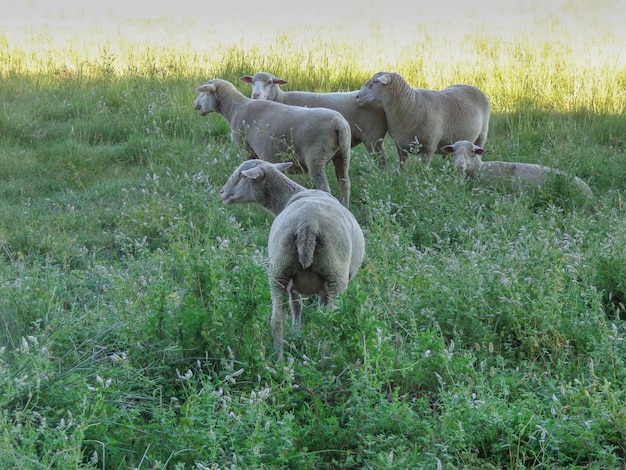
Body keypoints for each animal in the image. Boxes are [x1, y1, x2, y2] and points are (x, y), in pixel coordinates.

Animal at [194, 78, 352, 207]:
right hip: (343, 155)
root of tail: (339, 124)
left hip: (316, 157)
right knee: (344, 184)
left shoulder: (246, 148)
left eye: (204, 93)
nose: (195, 105)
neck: (235, 108)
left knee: (324, 187)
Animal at [221, 158, 364, 360]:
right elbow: (301, 307)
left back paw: (280, 360)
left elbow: (302, 308)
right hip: (335, 274)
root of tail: (308, 224)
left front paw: (298, 334)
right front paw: (300, 333)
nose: (222, 192)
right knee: (329, 320)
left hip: (280, 270)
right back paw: (324, 360)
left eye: (242, 175)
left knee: (277, 319)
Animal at [354, 71, 490, 169]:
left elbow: (423, 169)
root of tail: (473, 87)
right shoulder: (400, 145)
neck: (411, 105)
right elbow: (402, 166)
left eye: (374, 83)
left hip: (482, 136)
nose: (357, 96)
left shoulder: (429, 148)